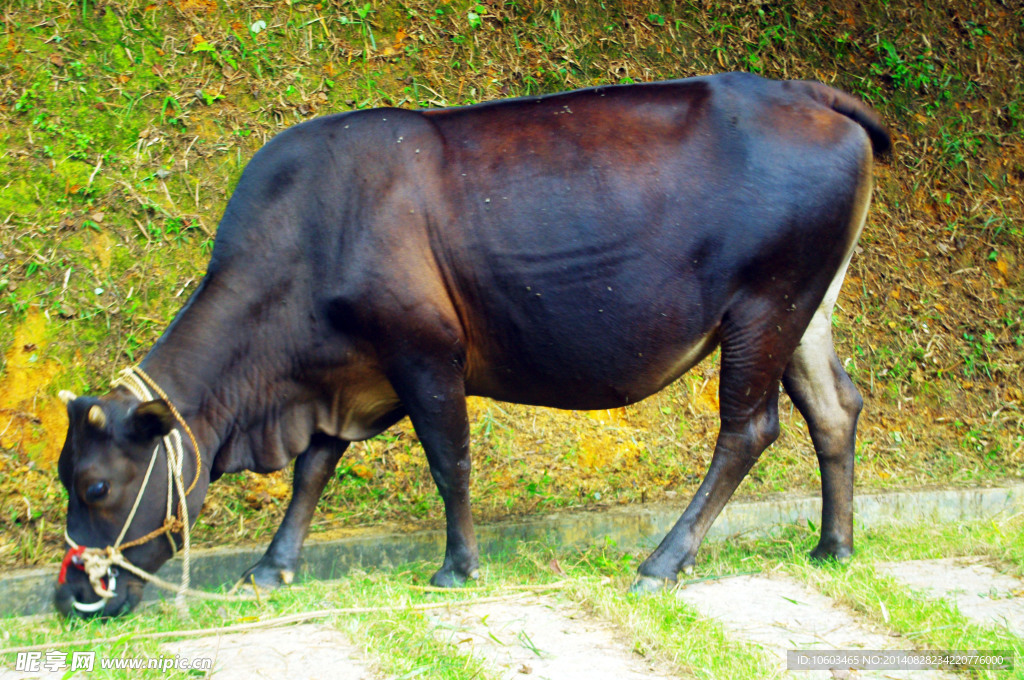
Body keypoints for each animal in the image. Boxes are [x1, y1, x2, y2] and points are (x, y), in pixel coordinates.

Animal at [56, 73, 888, 614]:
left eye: (95, 486)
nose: (71, 594)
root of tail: (810, 94)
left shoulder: (424, 353)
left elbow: (447, 459)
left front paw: (457, 567)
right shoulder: (346, 375)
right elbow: (313, 470)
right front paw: (272, 567)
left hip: (764, 305)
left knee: (748, 429)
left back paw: (662, 563)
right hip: (804, 308)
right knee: (833, 409)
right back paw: (833, 547)